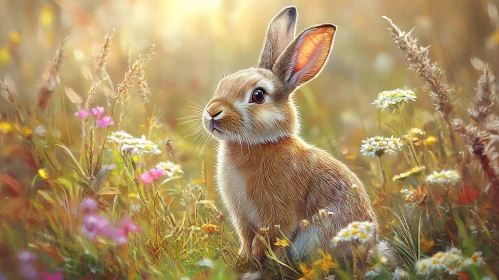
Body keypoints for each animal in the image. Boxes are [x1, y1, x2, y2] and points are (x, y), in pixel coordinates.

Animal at [203, 6, 382, 264]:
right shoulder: (242, 217)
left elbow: (270, 236)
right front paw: (244, 258)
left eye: (258, 95)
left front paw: (258, 257)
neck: (259, 144)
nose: (212, 112)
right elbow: (246, 237)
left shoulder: (278, 212)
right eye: (223, 84)